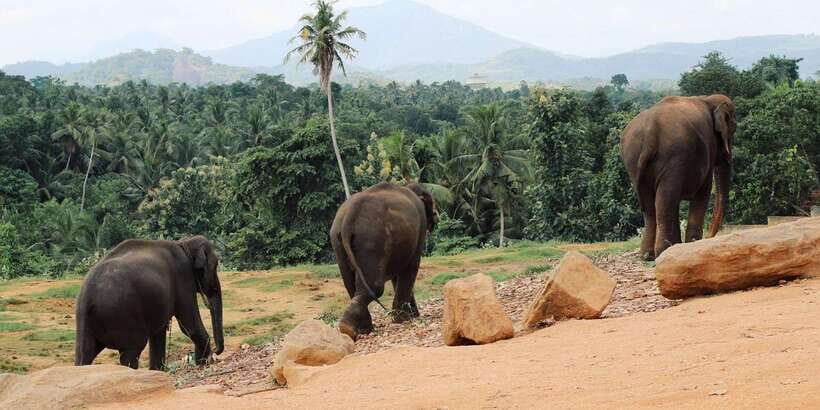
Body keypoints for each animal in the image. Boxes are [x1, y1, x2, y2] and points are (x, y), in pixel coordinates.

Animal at [74, 235, 224, 370]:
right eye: (215, 265)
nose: (216, 351)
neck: (184, 243)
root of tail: (87, 296)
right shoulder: (183, 277)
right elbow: (189, 324)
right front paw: (204, 363)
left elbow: (159, 332)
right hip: (124, 315)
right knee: (131, 350)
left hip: (86, 322)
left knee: (85, 354)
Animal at [330, 181, 437, 341]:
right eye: (432, 208)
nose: (437, 216)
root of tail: (348, 219)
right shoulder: (420, 228)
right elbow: (411, 267)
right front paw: (404, 319)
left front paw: (410, 316)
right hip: (373, 240)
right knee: (375, 287)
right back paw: (353, 328)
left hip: (338, 243)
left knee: (351, 285)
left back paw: (357, 329)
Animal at [620, 94, 736, 260]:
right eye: (733, 130)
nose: (708, 237)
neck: (707, 98)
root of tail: (651, 131)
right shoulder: (708, 146)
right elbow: (704, 190)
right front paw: (692, 244)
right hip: (673, 157)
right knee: (666, 199)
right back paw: (663, 250)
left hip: (633, 161)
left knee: (652, 206)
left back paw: (648, 255)